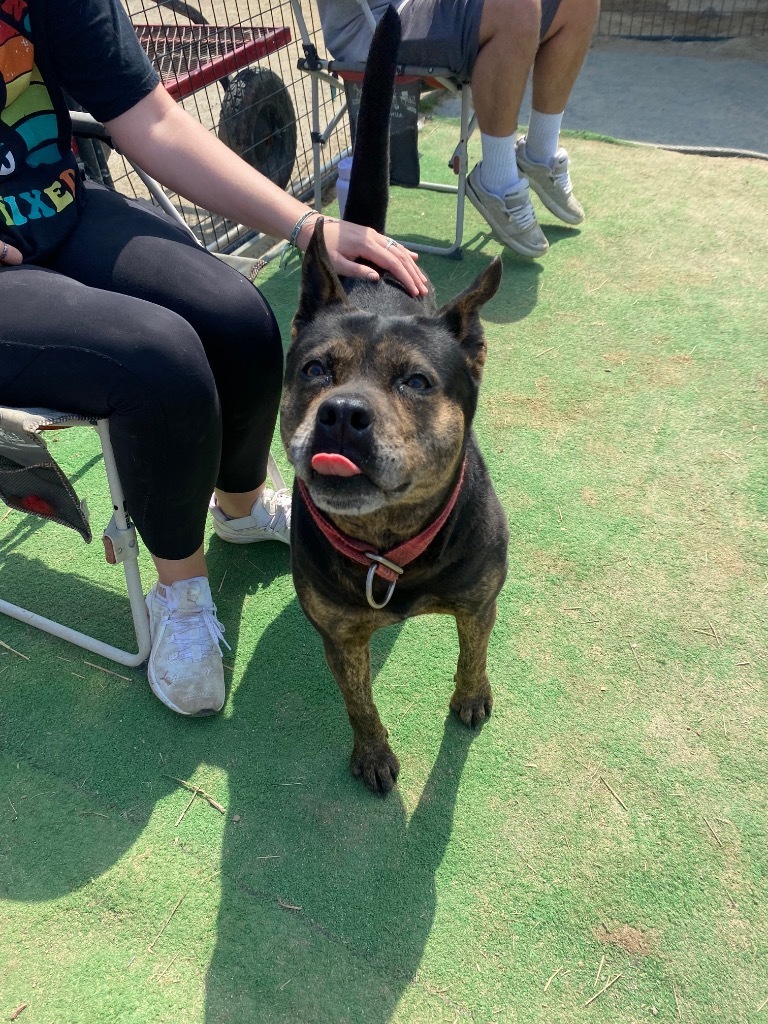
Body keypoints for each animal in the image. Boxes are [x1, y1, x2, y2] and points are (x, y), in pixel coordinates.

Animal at [280, 6, 507, 790]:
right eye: (315, 371)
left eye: (416, 381)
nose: (343, 415)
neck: (389, 548)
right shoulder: (339, 635)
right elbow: (357, 700)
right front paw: (373, 753)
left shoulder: (480, 601)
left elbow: (473, 652)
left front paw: (471, 698)